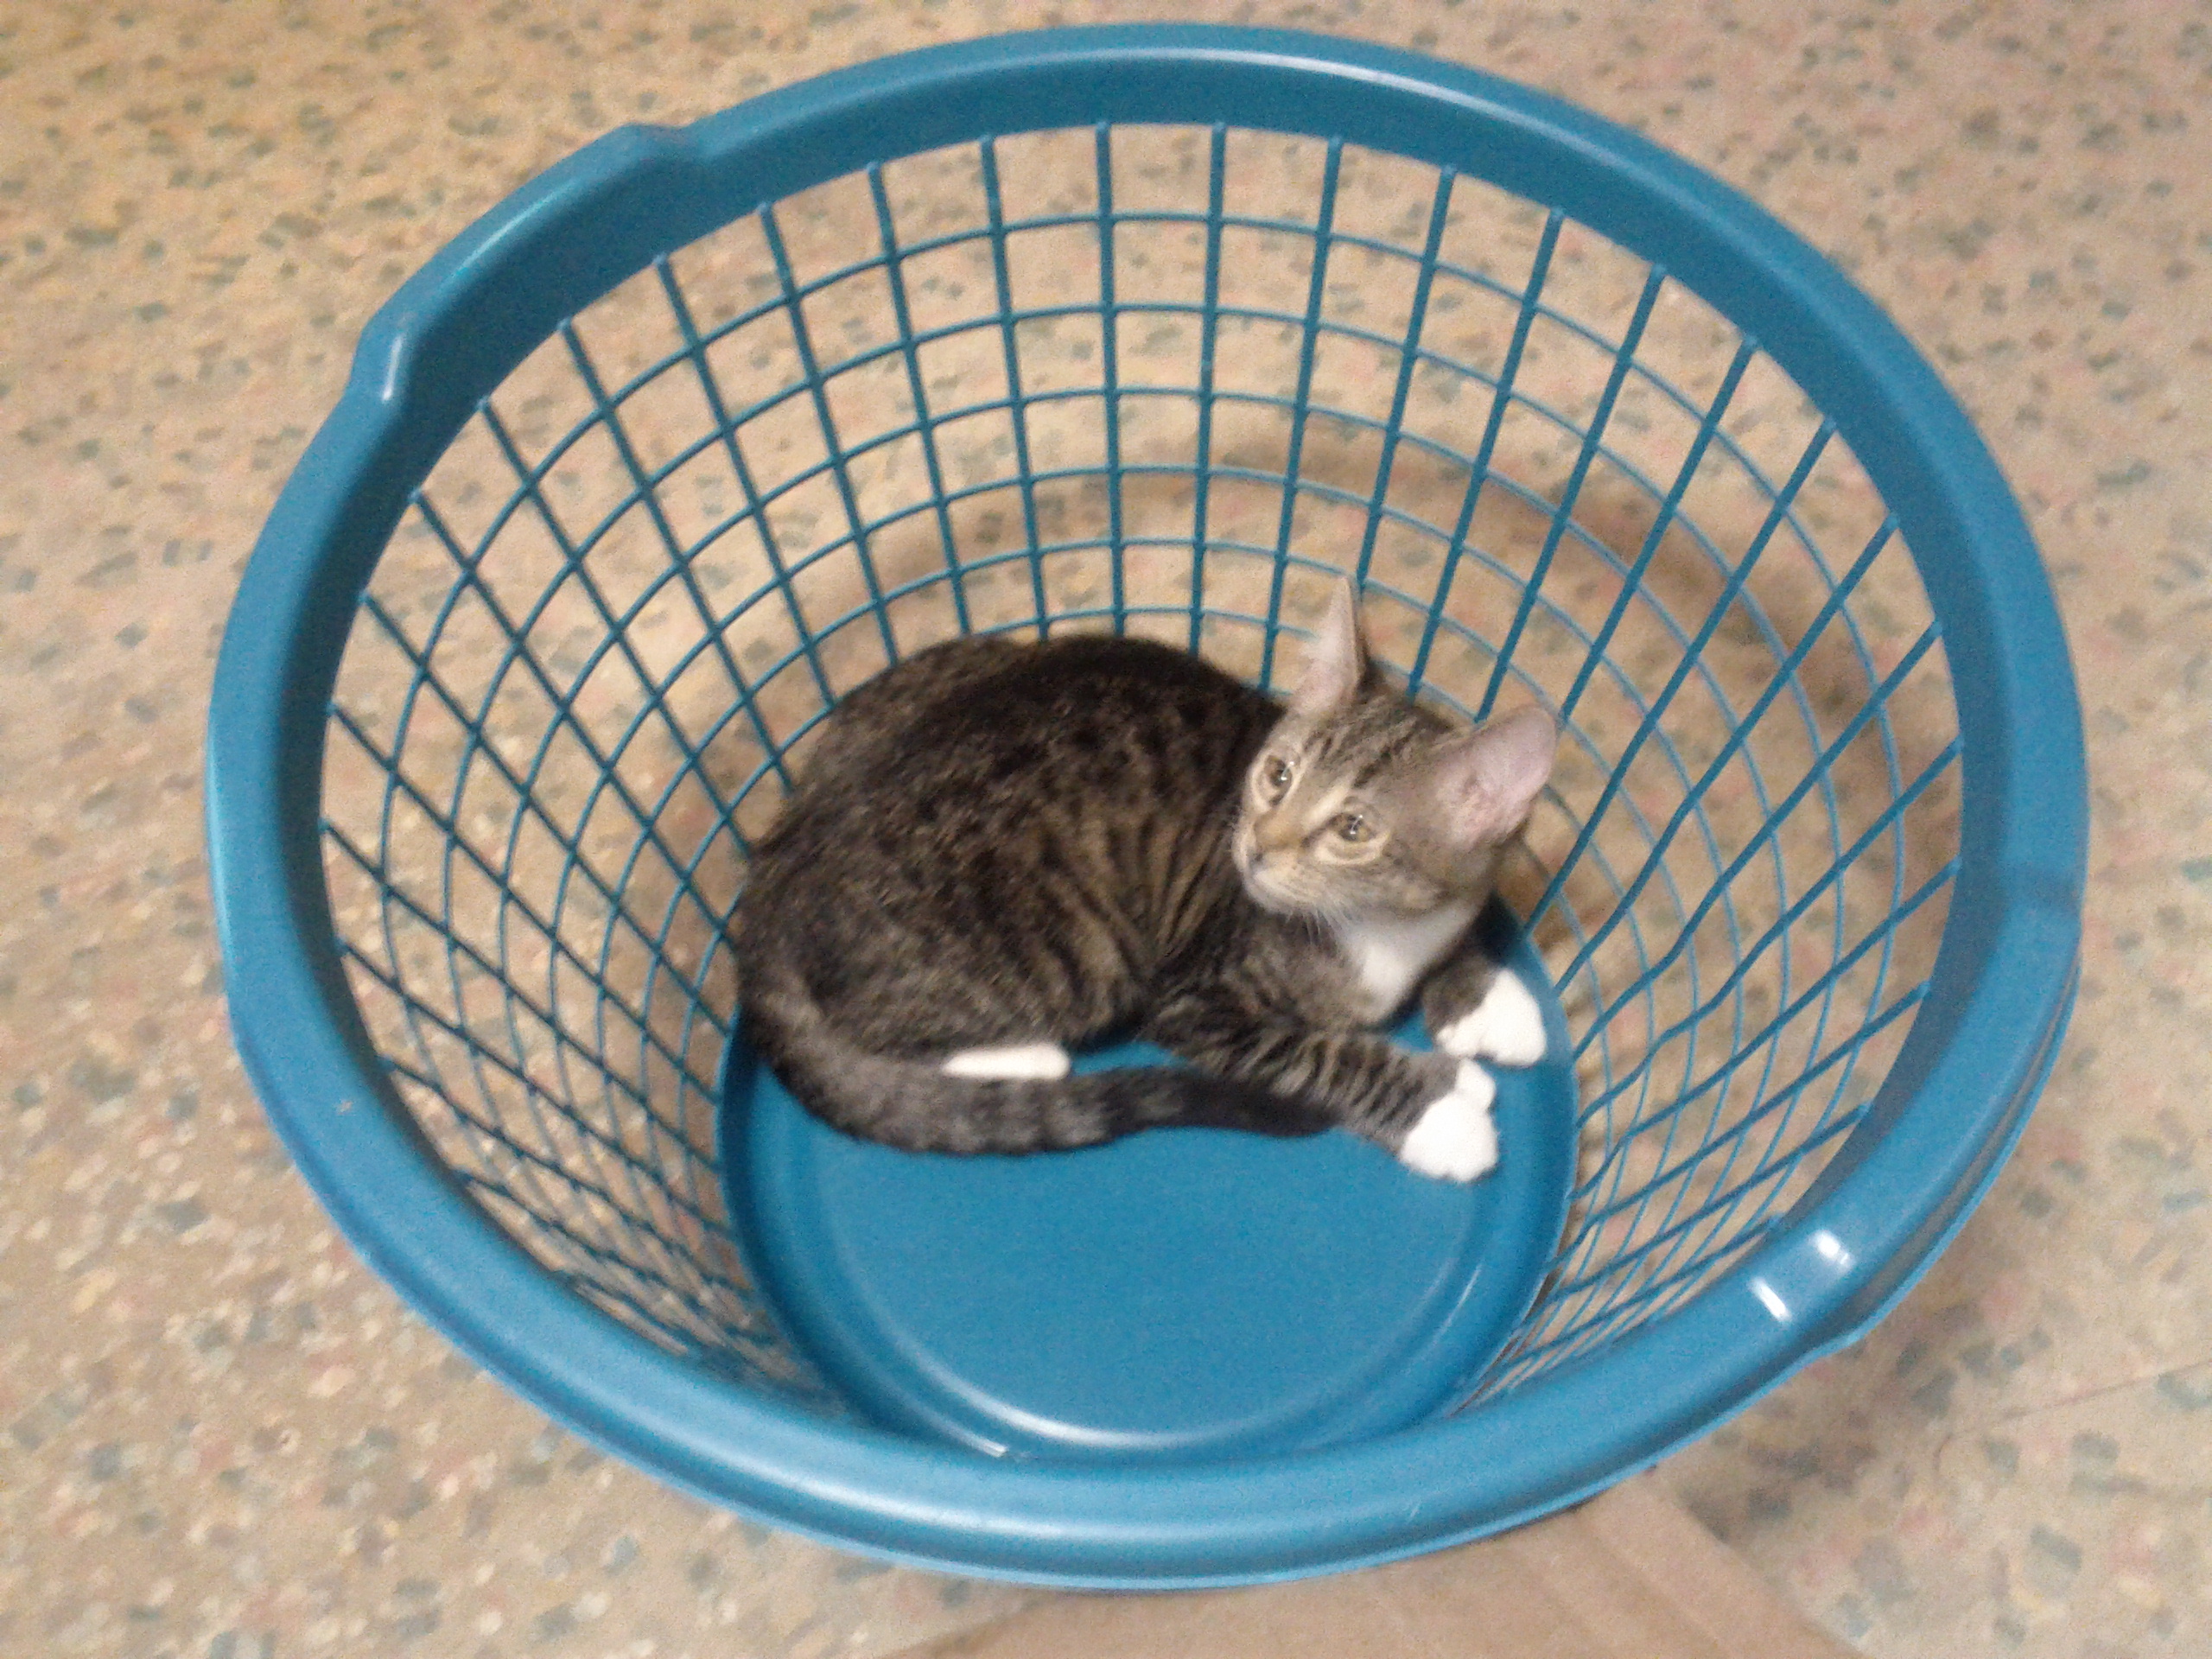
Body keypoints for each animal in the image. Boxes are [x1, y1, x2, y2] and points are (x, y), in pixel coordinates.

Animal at [733, 580, 1556, 1181]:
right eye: (1276, 776)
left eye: (1353, 830)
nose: (1256, 846)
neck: (1382, 931)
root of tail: (780, 872)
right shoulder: (1196, 1001)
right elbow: (1316, 1055)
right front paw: (1443, 1110)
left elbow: (1462, 928)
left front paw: (1486, 1002)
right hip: (1078, 952)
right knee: (871, 1030)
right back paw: (1026, 1060)